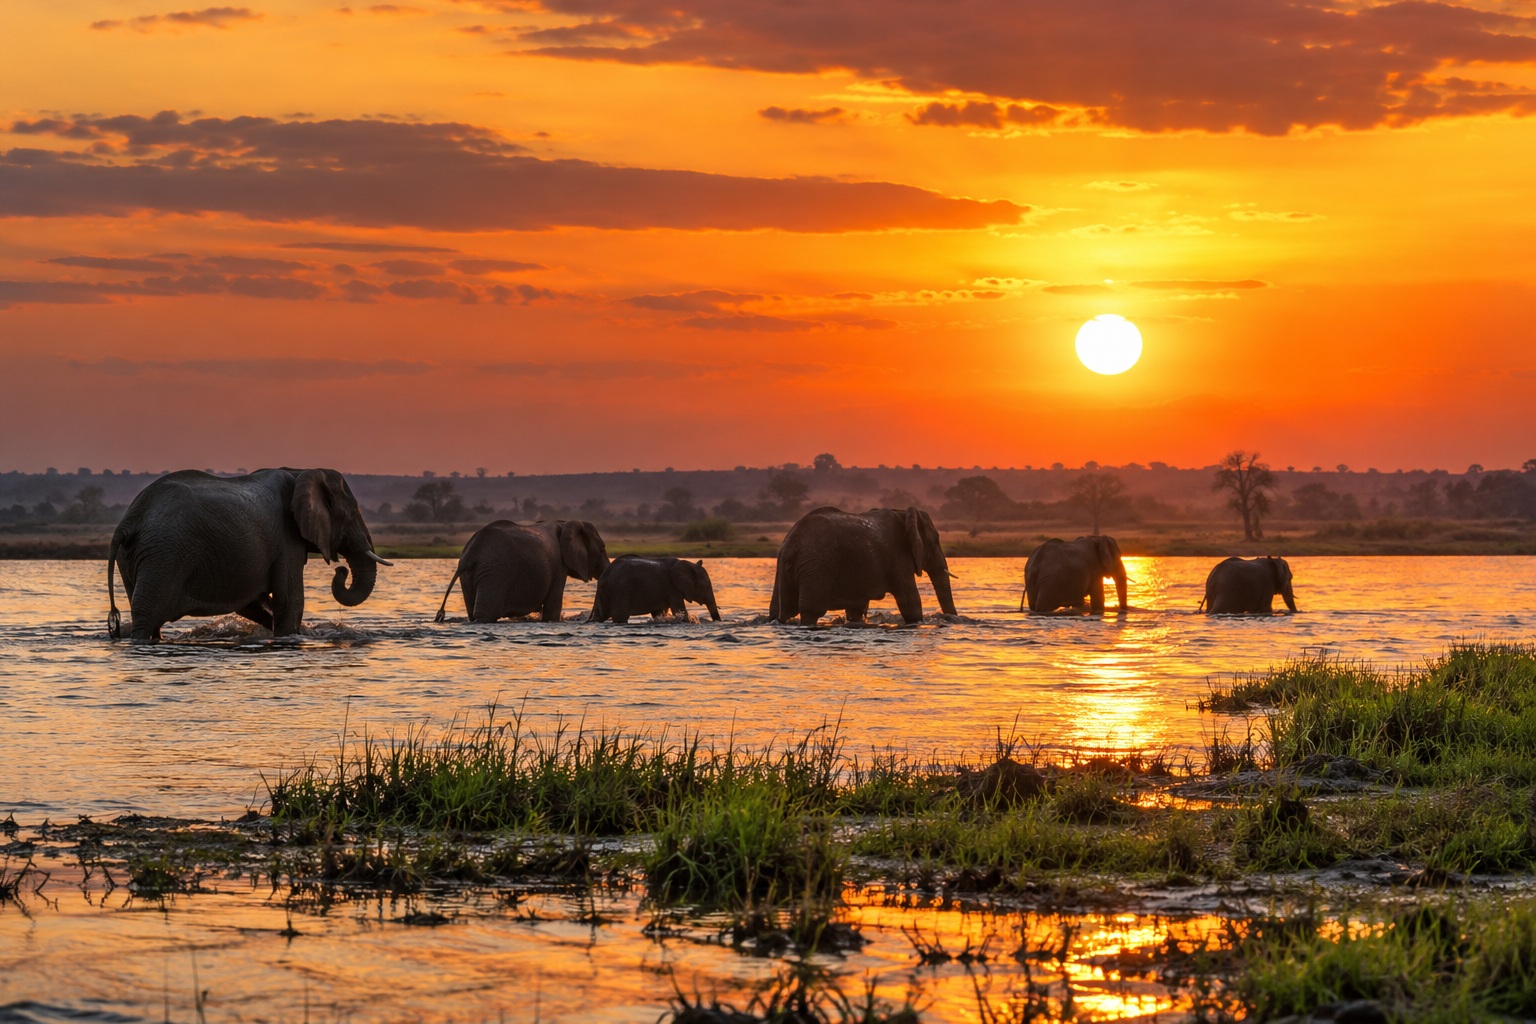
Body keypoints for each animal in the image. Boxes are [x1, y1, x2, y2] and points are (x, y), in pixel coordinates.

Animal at [106, 468, 390, 643]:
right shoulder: (286, 537)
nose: (340, 569)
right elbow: (290, 600)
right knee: (146, 615)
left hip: (138, 556)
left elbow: (253, 603)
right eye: (352, 512)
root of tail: (129, 521)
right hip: (165, 553)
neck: (301, 471)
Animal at [434, 520, 608, 623]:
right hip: (496, 573)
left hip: (470, 577)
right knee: (486, 614)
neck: (564, 523)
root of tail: (469, 555)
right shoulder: (559, 567)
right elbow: (553, 605)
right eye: (601, 549)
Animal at [588, 555, 721, 623]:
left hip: (606, 591)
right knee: (620, 616)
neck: (687, 563)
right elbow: (679, 610)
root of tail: (605, 573)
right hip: (619, 591)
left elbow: (659, 613)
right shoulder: (672, 588)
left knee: (601, 615)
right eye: (704, 587)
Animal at [768, 506, 956, 626]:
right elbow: (910, 601)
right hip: (816, 565)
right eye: (935, 540)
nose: (951, 619)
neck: (903, 513)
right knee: (811, 610)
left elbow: (856, 608)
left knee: (780, 610)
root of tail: (791, 543)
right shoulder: (898, 556)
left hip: (786, 567)